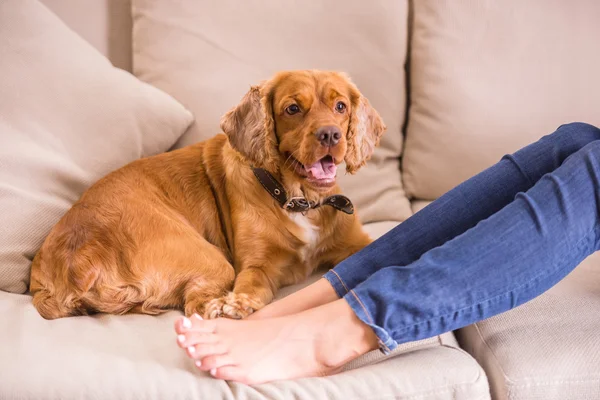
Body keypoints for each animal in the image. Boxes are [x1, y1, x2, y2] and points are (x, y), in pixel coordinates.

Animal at [29, 70, 384, 320]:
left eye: (341, 106)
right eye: (293, 108)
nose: (331, 135)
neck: (299, 200)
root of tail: (78, 257)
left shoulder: (356, 244)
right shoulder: (257, 266)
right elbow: (250, 284)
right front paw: (239, 303)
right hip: (213, 261)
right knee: (195, 306)